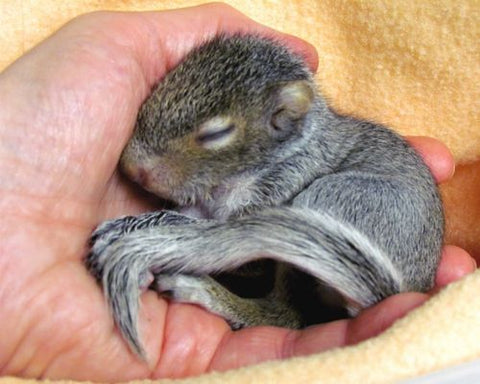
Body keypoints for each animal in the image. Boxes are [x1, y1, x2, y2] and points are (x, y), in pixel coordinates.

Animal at [84, 34, 444, 358]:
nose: (131, 167)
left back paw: (208, 293)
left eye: (216, 134)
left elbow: (227, 244)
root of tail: (400, 291)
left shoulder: (283, 187)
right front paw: (129, 224)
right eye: (158, 88)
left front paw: (141, 232)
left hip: (333, 198)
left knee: (287, 314)